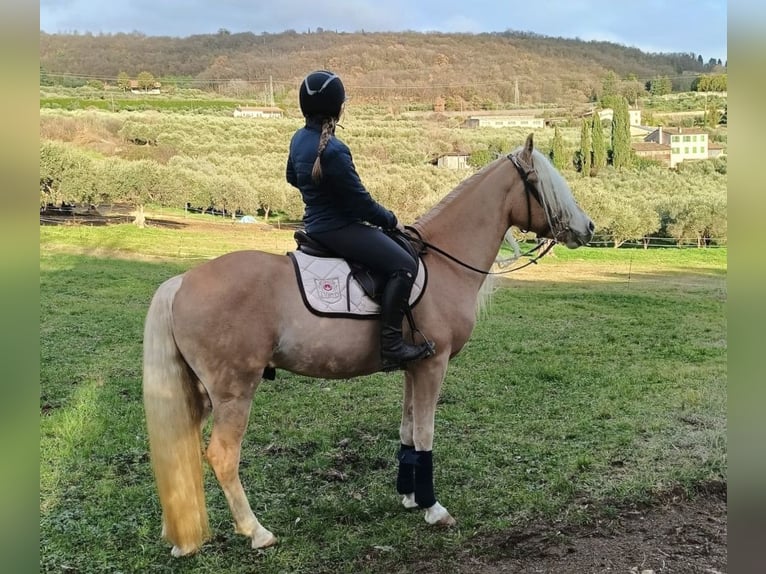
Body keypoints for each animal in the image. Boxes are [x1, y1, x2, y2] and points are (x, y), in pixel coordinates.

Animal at [146, 134, 600, 560]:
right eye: (545, 185)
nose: (589, 228)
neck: (444, 263)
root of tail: (181, 282)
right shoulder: (434, 366)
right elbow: (425, 433)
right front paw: (433, 507)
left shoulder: (414, 366)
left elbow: (407, 430)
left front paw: (410, 495)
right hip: (235, 391)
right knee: (222, 456)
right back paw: (257, 532)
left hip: (200, 394)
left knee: (183, 454)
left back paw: (182, 536)